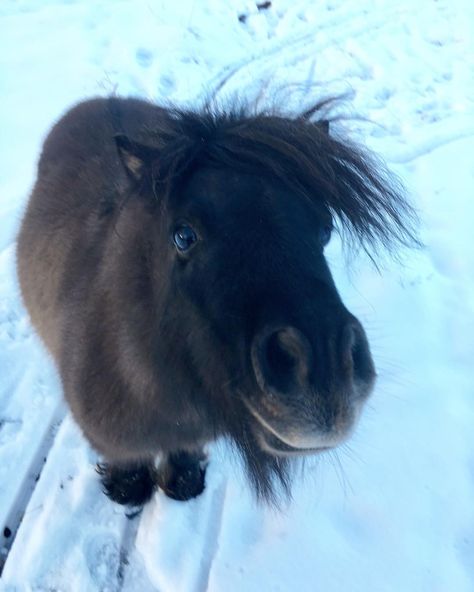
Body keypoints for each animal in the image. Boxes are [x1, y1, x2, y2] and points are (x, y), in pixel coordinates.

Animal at [15, 96, 418, 504]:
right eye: (183, 235)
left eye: (325, 229)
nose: (324, 373)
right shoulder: (115, 441)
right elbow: (127, 461)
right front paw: (128, 489)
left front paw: (182, 481)